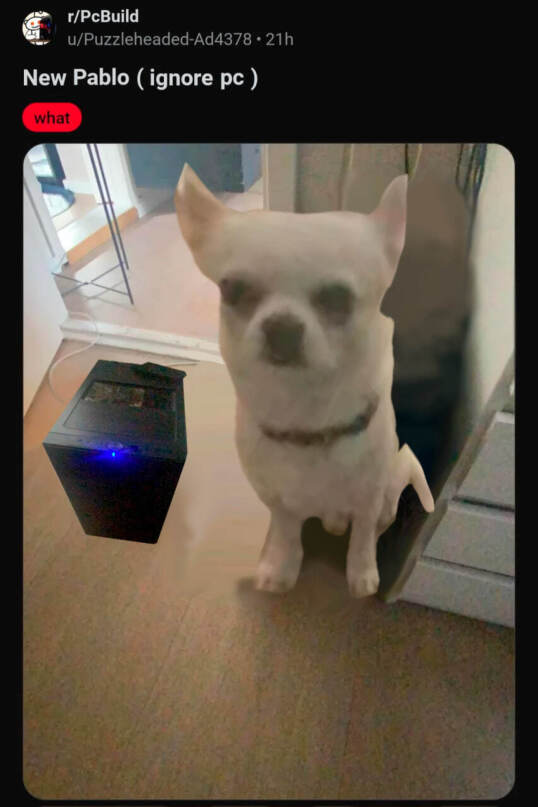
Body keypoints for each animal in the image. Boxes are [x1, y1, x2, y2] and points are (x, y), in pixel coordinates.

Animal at [175, 164, 434, 597]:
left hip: (387, 490)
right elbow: (286, 529)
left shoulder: (368, 495)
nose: (282, 326)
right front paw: (280, 567)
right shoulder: (277, 498)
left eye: (337, 298)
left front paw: (361, 573)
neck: (307, 420)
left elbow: (363, 535)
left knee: (377, 520)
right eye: (233, 290)